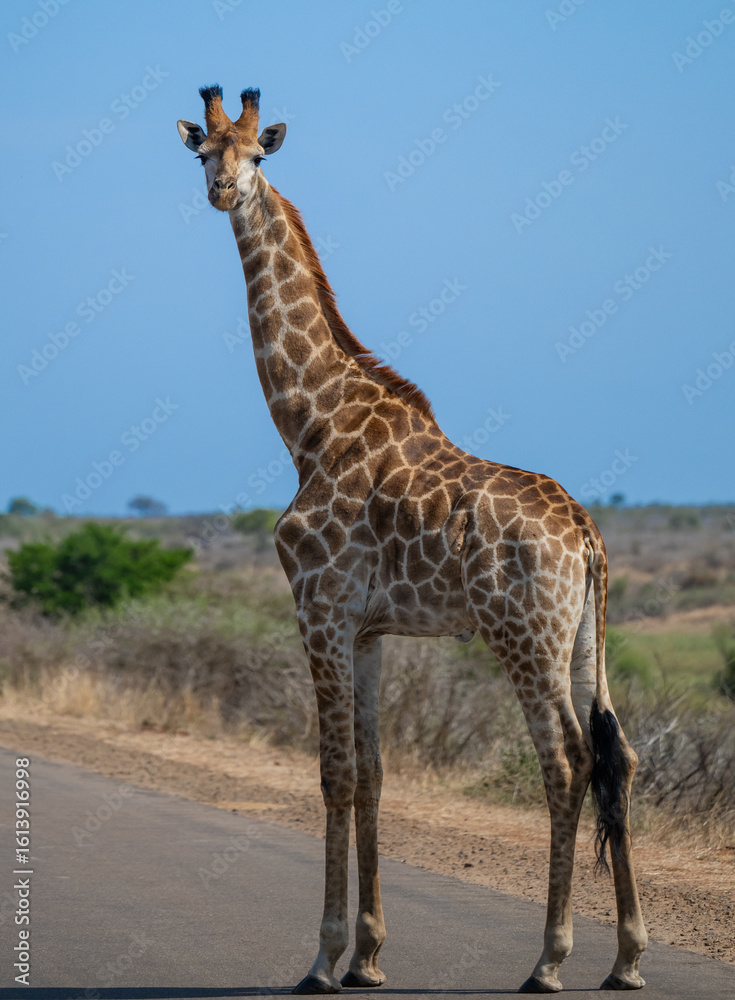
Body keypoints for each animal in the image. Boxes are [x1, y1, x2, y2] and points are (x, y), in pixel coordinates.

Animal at [177, 85, 647, 994]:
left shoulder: (318, 609)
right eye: (203, 152)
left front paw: (322, 958)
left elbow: (331, 774)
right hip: (581, 637)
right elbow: (372, 773)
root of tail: (585, 535)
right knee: (619, 757)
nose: (222, 192)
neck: (310, 426)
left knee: (566, 760)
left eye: (258, 154)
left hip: (521, 632)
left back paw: (548, 959)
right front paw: (367, 956)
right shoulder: (367, 630)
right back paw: (627, 959)